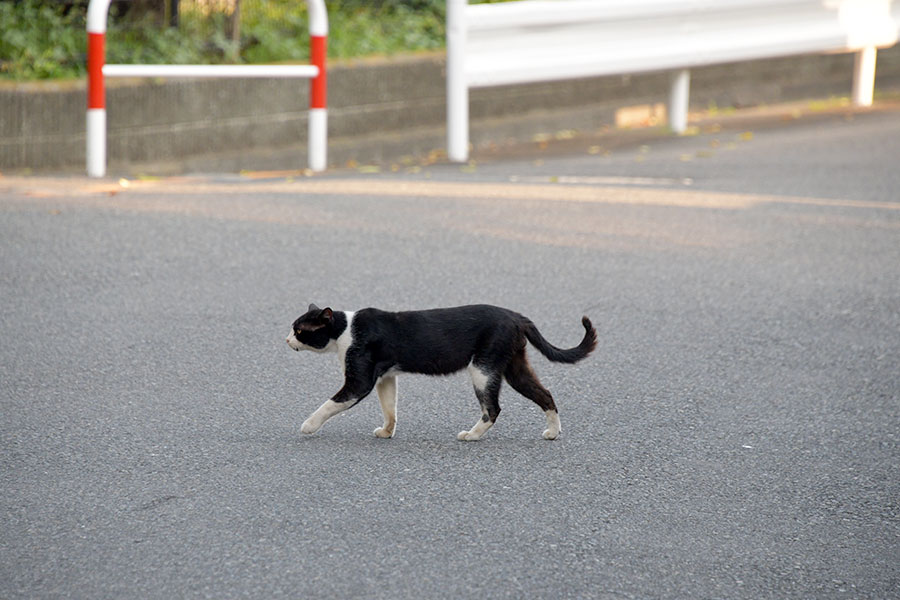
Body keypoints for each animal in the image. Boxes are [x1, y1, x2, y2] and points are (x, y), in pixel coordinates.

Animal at [288, 304, 596, 440]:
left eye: (299, 331)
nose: (286, 340)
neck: (345, 330)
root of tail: (517, 316)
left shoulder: (360, 381)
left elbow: (330, 404)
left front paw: (309, 425)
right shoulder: (386, 378)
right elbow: (390, 408)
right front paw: (387, 432)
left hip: (483, 368)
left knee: (493, 408)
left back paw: (471, 435)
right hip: (514, 367)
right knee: (545, 394)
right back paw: (552, 432)